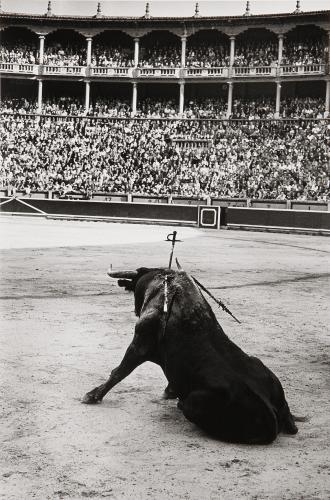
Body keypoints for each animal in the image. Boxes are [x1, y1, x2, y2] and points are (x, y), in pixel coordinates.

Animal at [82, 268, 300, 444]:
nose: (135, 309)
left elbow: (119, 371)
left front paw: (92, 396)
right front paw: (169, 391)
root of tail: (273, 414)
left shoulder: (140, 344)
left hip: (193, 403)